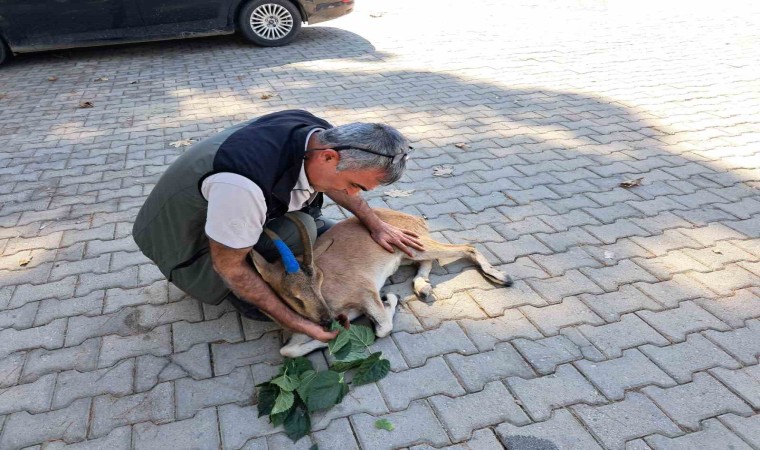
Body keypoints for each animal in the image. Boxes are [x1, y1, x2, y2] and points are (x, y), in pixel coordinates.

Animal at [252, 208, 512, 358]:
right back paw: (422, 287)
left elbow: (384, 327)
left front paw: (389, 300)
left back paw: (501, 277)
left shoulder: (365, 291)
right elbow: (288, 350)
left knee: (466, 247)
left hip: (416, 244)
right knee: (429, 261)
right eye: (292, 295)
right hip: (408, 253)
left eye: (318, 279)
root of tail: (416, 218)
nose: (325, 320)